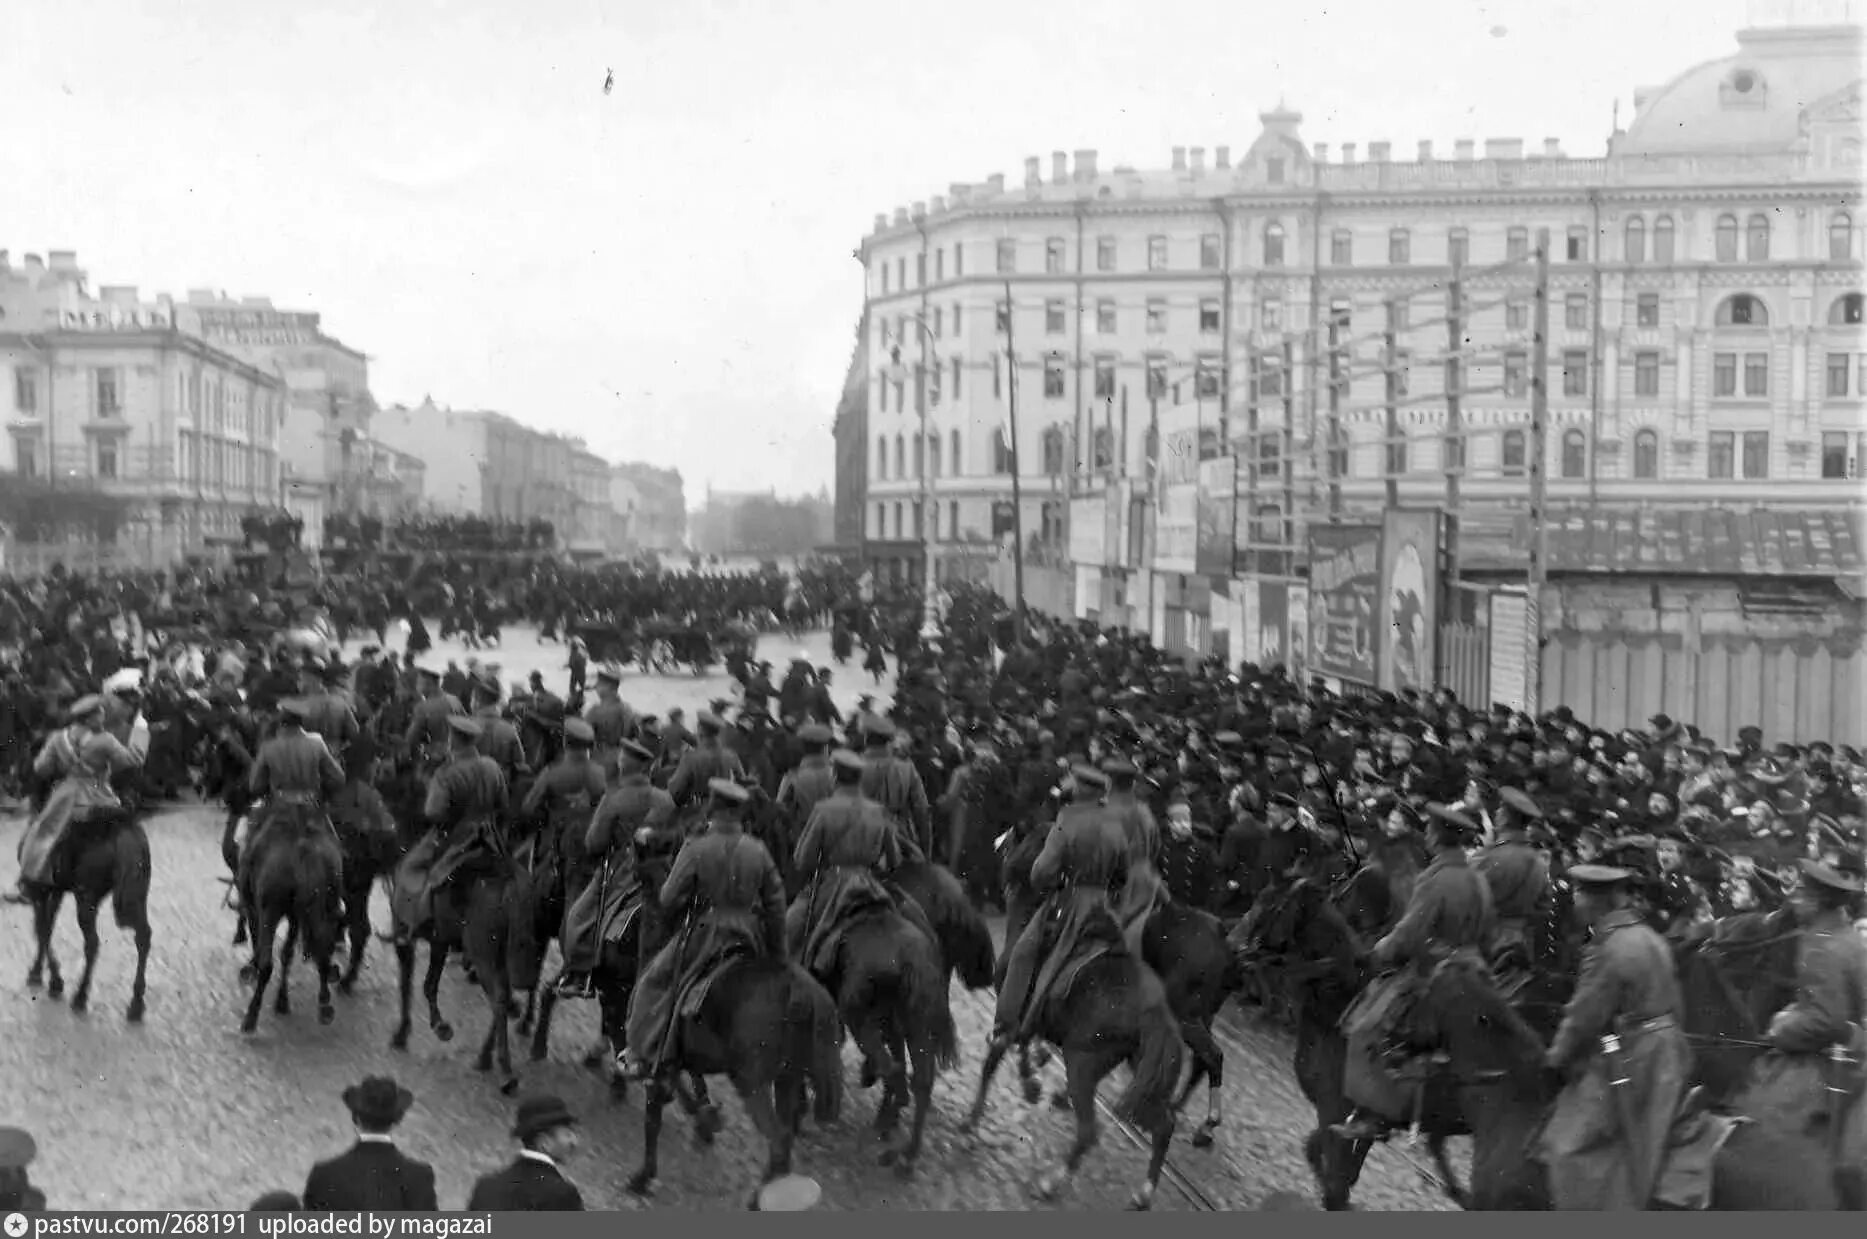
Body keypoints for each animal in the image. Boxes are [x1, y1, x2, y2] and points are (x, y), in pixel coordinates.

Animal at [24, 798, 152, 1022]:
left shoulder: (39, 890)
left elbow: (41, 929)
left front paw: (46, 978)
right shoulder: (56, 890)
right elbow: (47, 927)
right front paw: (47, 976)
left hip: (86, 897)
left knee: (92, 943)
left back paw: (80, 997)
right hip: (137, 896)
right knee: (143, 936)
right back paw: (136, 1005)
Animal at [237, 809, 347, 1030]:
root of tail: (304, 852)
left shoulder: (254, 908)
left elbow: (258, 944)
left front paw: (251, 969)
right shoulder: (296, 916)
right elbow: (287, 953)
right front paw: (282, 1000)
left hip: (270, 910)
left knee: (267, 963)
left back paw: (251, 1017)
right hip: (323, 906)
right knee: (323, 951)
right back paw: (323, 1005)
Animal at [627, 951, 847, 1201]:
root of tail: (802, 993)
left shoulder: (659, 1061)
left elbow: (653, 1119)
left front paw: (643, 1177)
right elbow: (689, 1085)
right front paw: (704, 1119)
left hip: (751, 1084)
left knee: (778, 1139)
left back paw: (758, 1198)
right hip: (787, 1080)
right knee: (786, 1133)